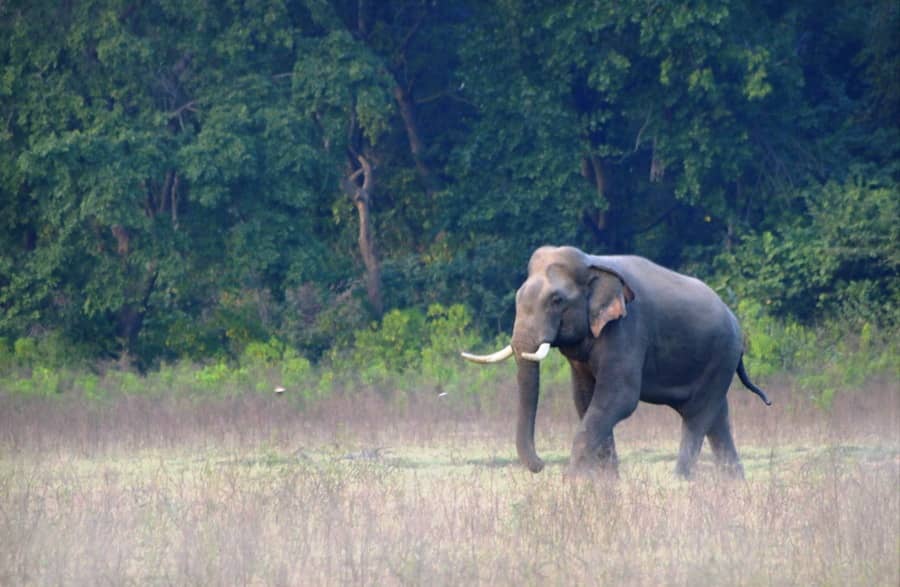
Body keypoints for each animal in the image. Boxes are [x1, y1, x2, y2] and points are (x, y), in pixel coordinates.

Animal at [462, 245, 771, 478]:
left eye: (556, 300)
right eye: (517, 296)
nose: (541, 465)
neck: (592, 264)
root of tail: (734, 320)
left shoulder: (628, 329)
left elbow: (618, 398)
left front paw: (571, 480)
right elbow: (585, 400)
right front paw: (605, 481)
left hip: (721, 357)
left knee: (697, 416)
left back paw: (681, 479)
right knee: (718, 419)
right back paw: (733, 482)